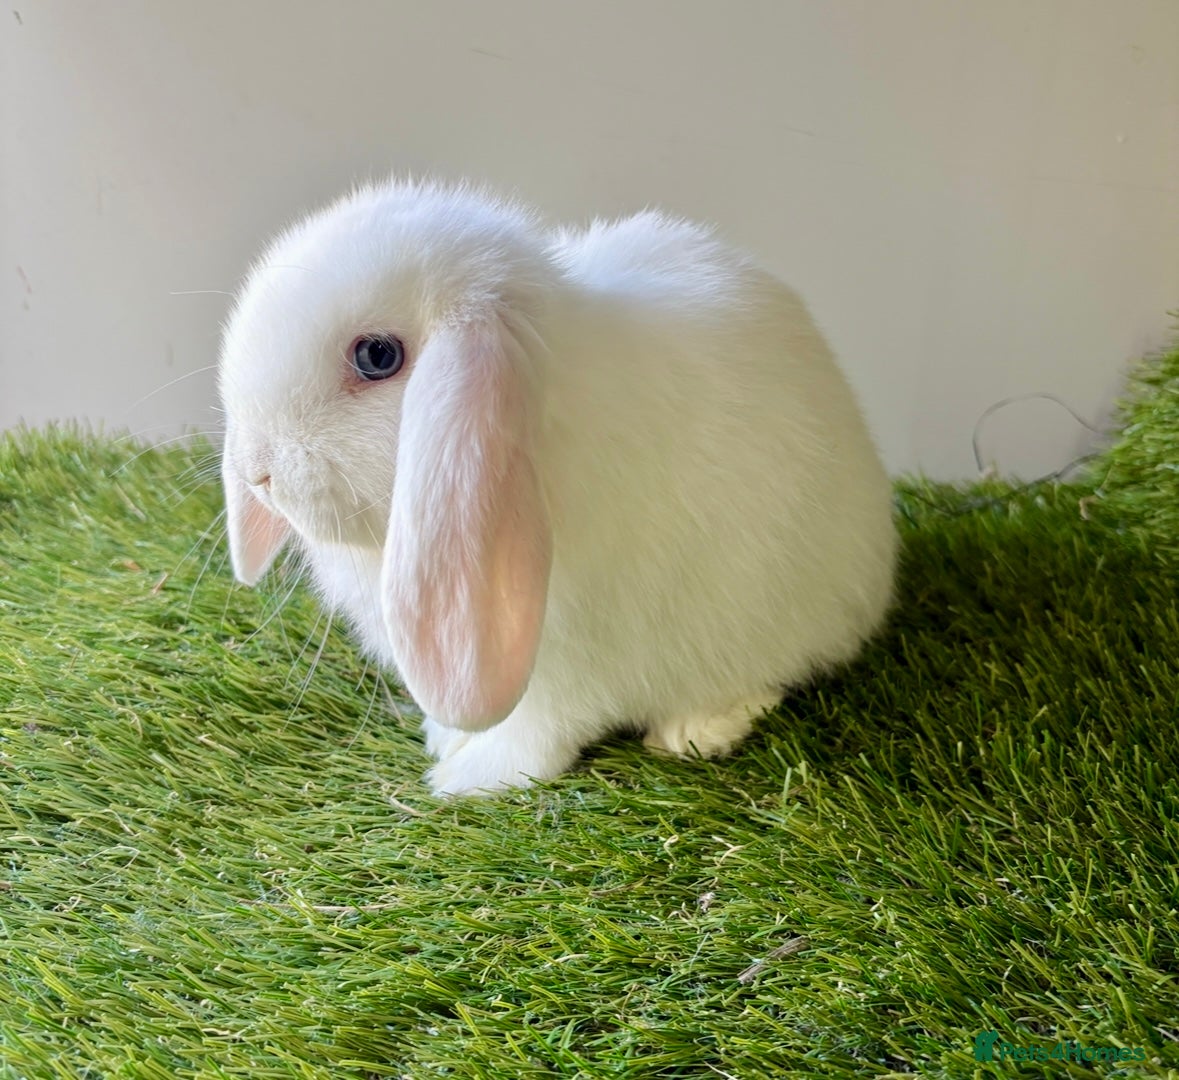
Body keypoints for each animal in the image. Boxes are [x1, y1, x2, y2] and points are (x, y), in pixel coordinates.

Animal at [218, 178, 898, 796]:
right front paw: (446, 738)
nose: (258, 472)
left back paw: (695, 730)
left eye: (377, 357)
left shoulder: (572, 660)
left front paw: (469, 775)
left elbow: (539, 730)